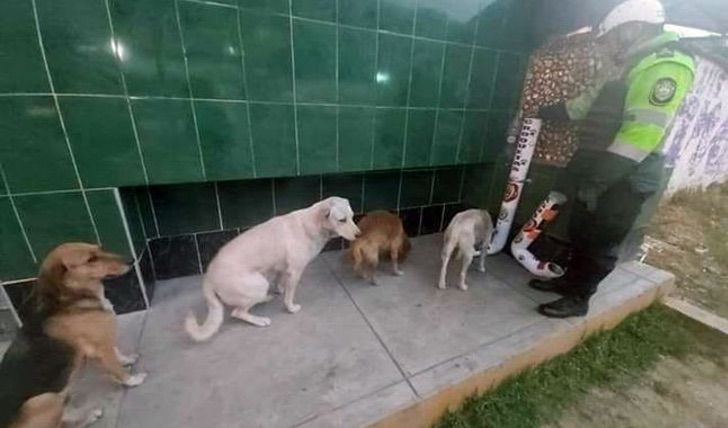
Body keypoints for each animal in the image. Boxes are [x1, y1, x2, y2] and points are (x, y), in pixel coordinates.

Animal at [0, 244, 148, 428]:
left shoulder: (102, 339)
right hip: (46, 399)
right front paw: (132, 380)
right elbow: (116, 368)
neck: (74, 299)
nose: (131, 260)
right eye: (91, 259)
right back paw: (87, 417)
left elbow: (116, 352)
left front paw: (126, 360)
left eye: (100, 248)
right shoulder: (101, 345)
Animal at [186, 197, 360, 342]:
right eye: (342, 220)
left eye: (352, 216)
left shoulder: (281, 267)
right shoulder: (295, 271)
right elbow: (289, 295)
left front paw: (279, 290)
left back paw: (265, 298)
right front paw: (290, 308)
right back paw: (259, 320)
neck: (313, 223)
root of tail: (209, 276)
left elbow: (280, 281)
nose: (359, 234)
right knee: (238, 312)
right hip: (258, 284)